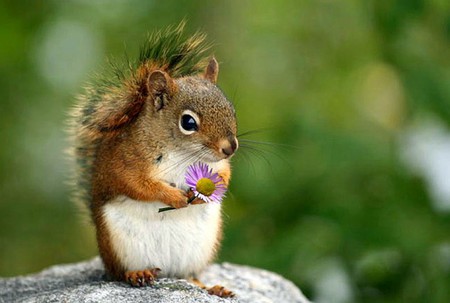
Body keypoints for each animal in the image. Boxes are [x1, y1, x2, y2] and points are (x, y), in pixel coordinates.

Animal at [68, 22, 237, 298]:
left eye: (231, 108)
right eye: (188, 122)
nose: (230, 147)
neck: (183, 153)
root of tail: (166, 270)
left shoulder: (217, 164)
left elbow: (224, 174)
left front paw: (205, 194)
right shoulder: (126, 161)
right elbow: (138, 185)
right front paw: (175, 197)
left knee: (189, 277)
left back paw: (213, 287)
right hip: (120, 246)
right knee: (121, 273)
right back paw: (138, 274)